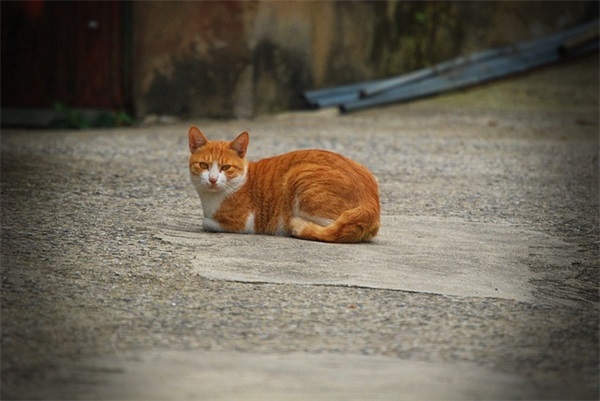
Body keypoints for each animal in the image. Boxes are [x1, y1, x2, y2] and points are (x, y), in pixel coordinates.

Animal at [189, 126, 380, 242]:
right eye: (204, 165)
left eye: (226, 167)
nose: (212, 179)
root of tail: (371, 202)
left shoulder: (243, 222)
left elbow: (206, 222)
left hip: (299, 176)